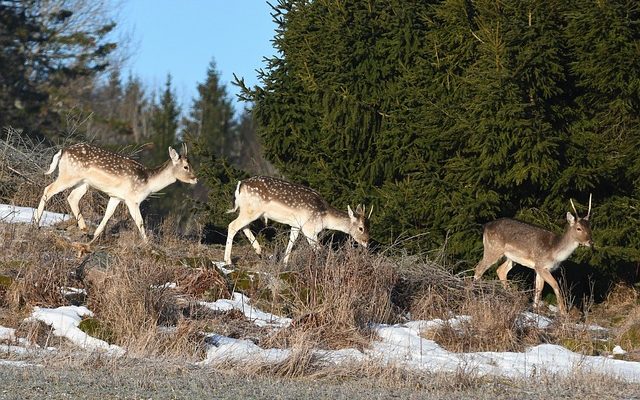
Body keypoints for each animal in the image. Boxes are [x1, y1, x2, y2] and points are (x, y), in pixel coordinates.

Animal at [32, 142, 196, 245]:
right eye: (186, 167)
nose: (195, 178)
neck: (148, 183)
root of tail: (63, 151)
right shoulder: (131, 199)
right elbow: (140, 221)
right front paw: (148, 243)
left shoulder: (116, 196)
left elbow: (107, 215)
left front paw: (94, 237)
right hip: (69, 175)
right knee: (48, 189)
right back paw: (36, 223)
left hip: (83, 183)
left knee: (72, 197)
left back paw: (84, 229)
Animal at [222, 176, 370, 266]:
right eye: (361, 228)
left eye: (370, 227)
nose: (367, 242)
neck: (325, 217)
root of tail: (240, 185)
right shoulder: (309, 228)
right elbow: (319, 249)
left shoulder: (296, 226)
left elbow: (291, 242)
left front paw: (284, 263)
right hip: (252, 209)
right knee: (232, 225)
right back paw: (228, 260)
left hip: (248, 210)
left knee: (243, 226)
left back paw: (259, 251)